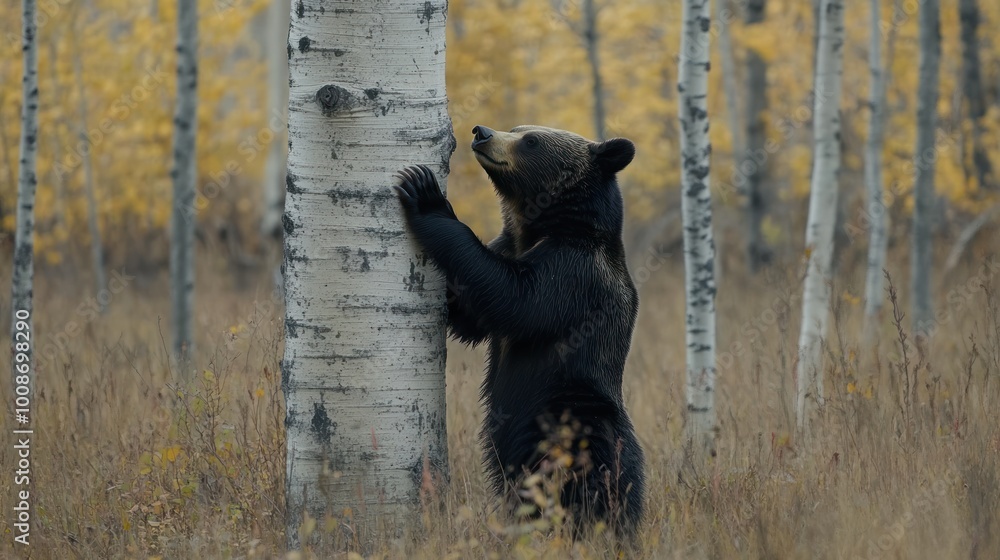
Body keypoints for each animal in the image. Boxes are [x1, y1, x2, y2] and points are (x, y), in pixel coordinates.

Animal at [394, 123, 644, 540]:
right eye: (516, 128)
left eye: (532, 140)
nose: (482, 132)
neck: (539, 229)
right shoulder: (512, 245)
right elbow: (471, 315)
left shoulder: (573, 277)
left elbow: (511, 296)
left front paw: (425, 194)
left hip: (568, 418)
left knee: (591, 484)